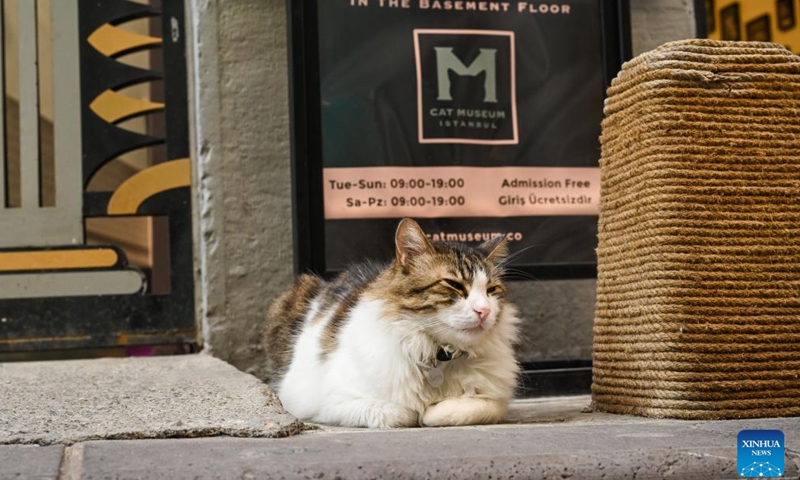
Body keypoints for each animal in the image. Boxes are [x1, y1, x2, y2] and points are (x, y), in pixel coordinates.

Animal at [262, 218, 520, 428]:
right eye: (454, 285)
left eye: (491, 290)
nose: (484, 311)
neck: (438, 354)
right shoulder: (331, 401)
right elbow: (400, 413)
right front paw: (419, 413)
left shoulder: (496, 400)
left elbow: (468, 408)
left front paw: (433, 412)